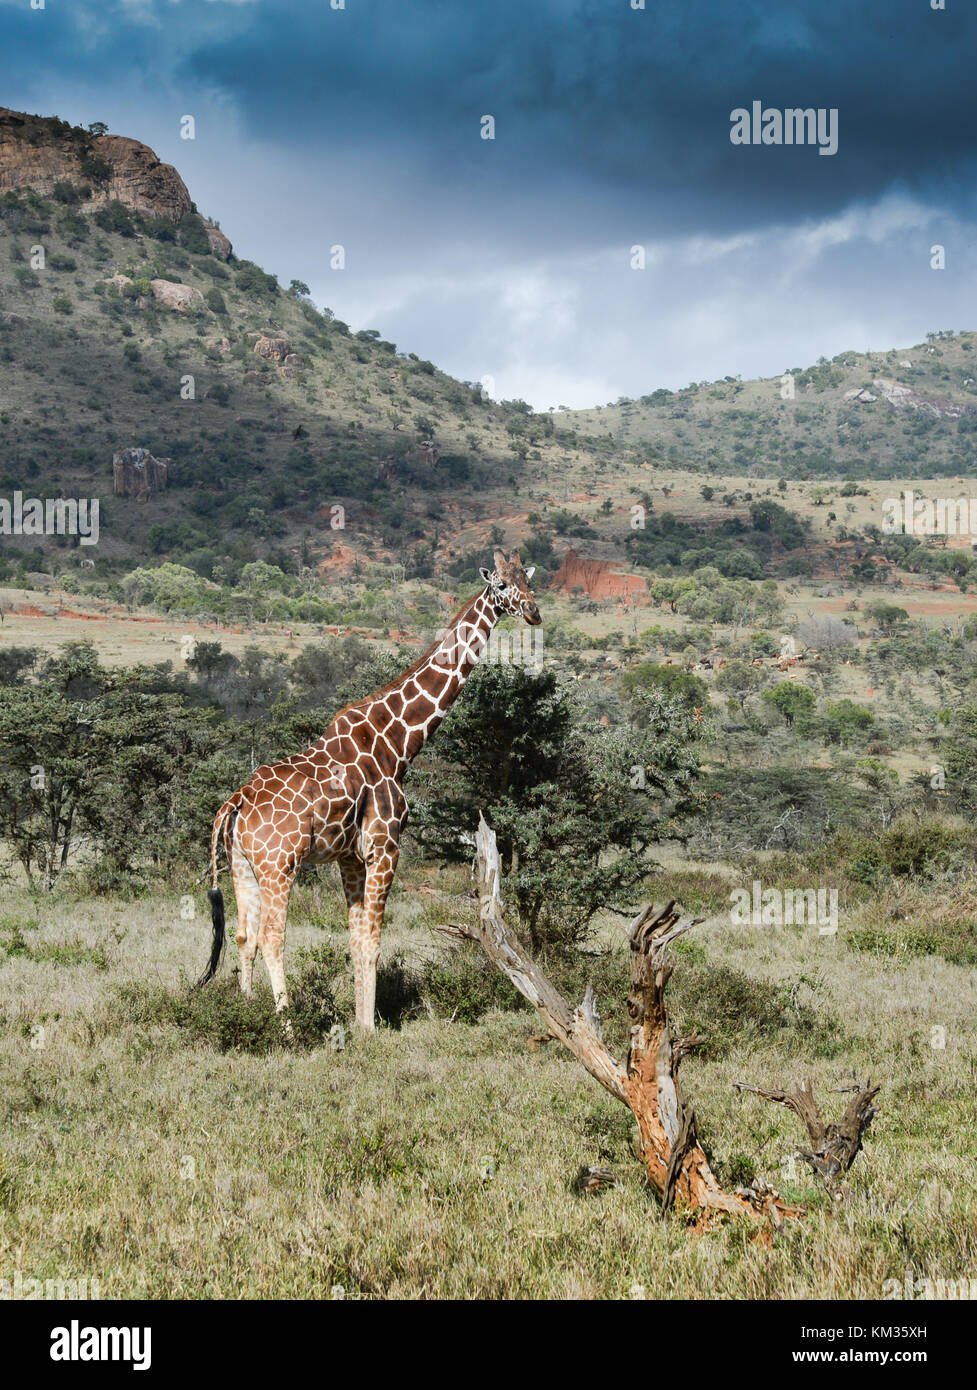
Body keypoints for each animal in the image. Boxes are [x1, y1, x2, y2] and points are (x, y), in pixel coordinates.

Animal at [198, 550, 541, 1032]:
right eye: (501, 586)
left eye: (528, 582)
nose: (533, 612)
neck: (397, 744)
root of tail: (236, 801)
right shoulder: (386, 847)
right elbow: (374, 942)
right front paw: (371, 1028)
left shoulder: (350, 856)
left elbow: (356, 940)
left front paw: (362, 1025)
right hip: (278, 864)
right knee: (271, 936)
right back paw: (286, 1025)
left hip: (241, 864)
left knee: (245, 935)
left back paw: (247, 1014)